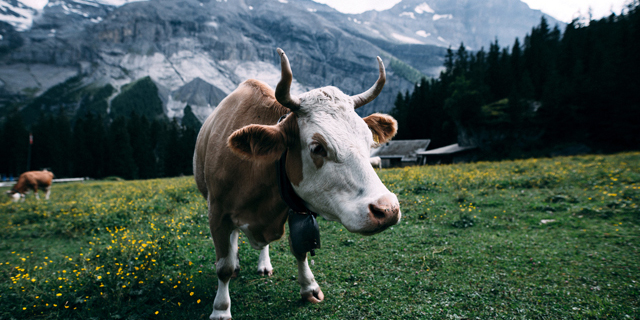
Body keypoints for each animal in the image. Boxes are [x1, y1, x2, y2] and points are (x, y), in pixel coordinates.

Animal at [195, 48, 402, 320]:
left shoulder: (295, 208)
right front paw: (220, 308)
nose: (387, 210)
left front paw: (309, 287)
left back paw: (264, 264)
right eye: (318, 147)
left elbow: (300, 249)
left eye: (369, 141)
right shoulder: (217, 213)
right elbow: (224, 267)